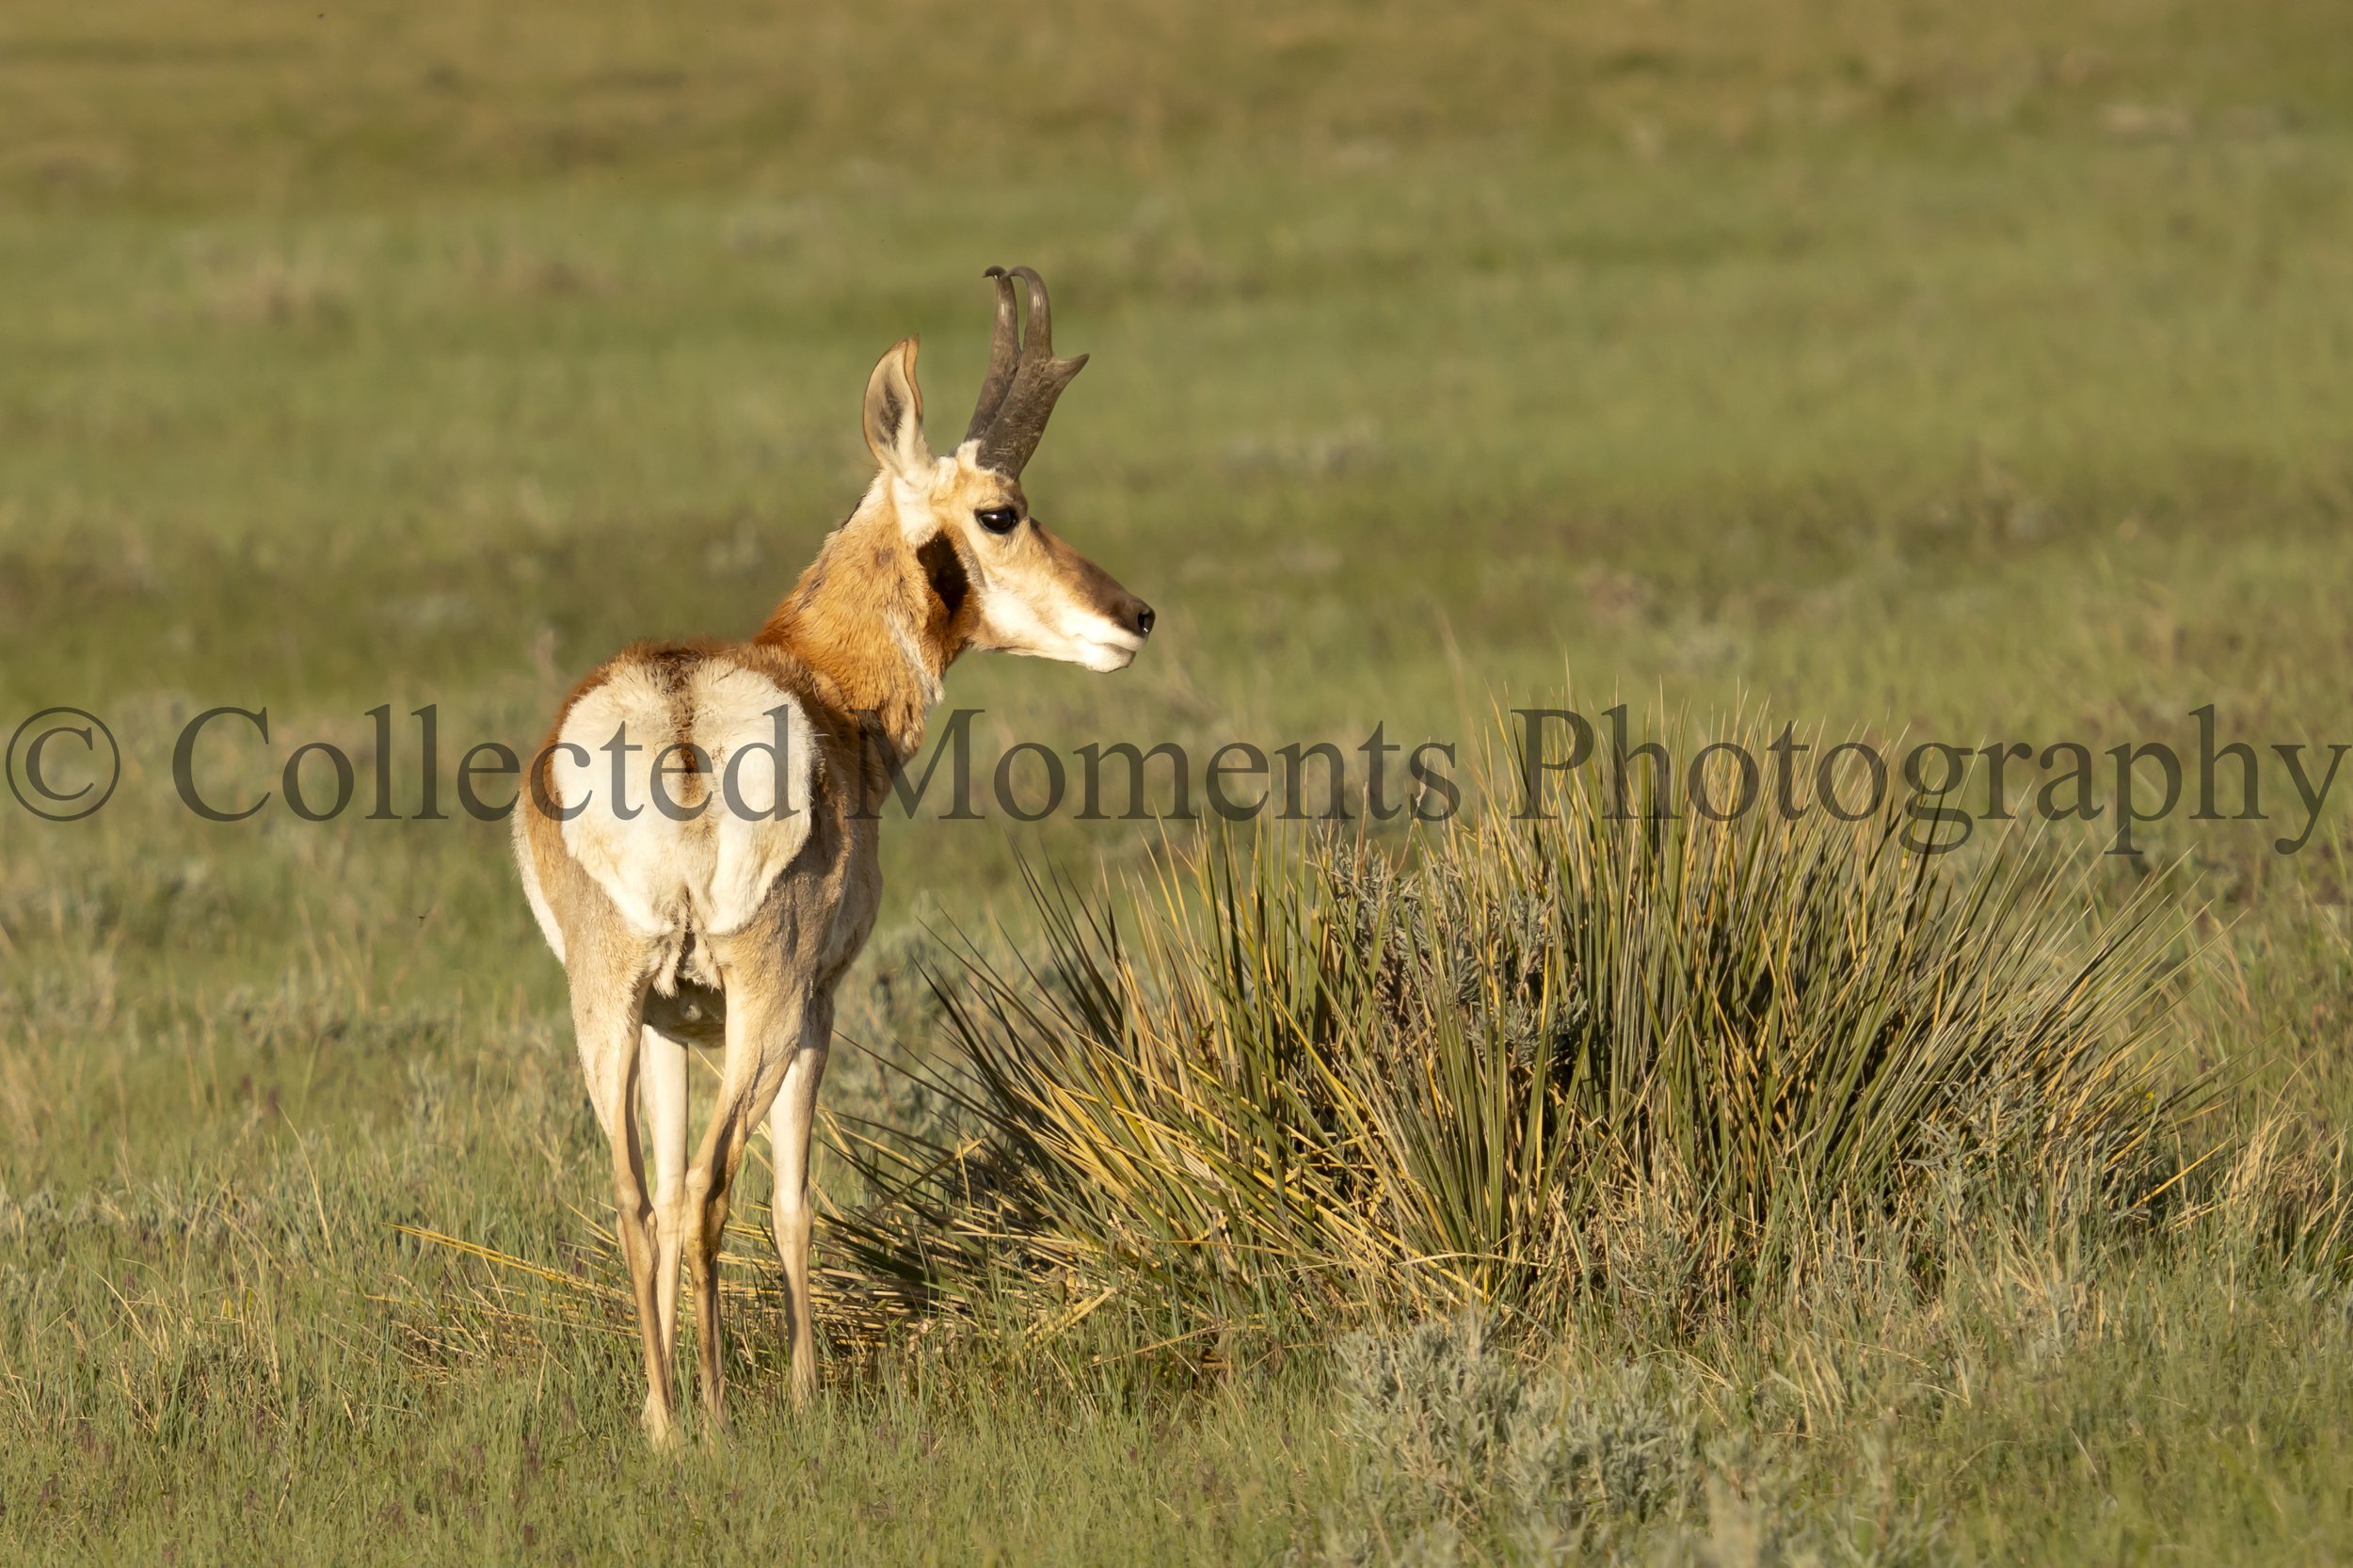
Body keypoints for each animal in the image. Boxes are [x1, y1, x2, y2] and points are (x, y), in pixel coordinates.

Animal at [511, 268, 1152, 1442]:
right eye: (1002, 510)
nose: (1134, 614)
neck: (812, 674)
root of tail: (676, 711)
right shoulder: (820, 1004)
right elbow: (793, 1195)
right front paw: (808, 1390)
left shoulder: (670, 1022)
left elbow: (662, 1189)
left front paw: (660, 1412)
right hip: (765, 1007)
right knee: (718, 1185)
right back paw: (722, 1413)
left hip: (607, 1002)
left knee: (639, 1196)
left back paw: (667, 1419)